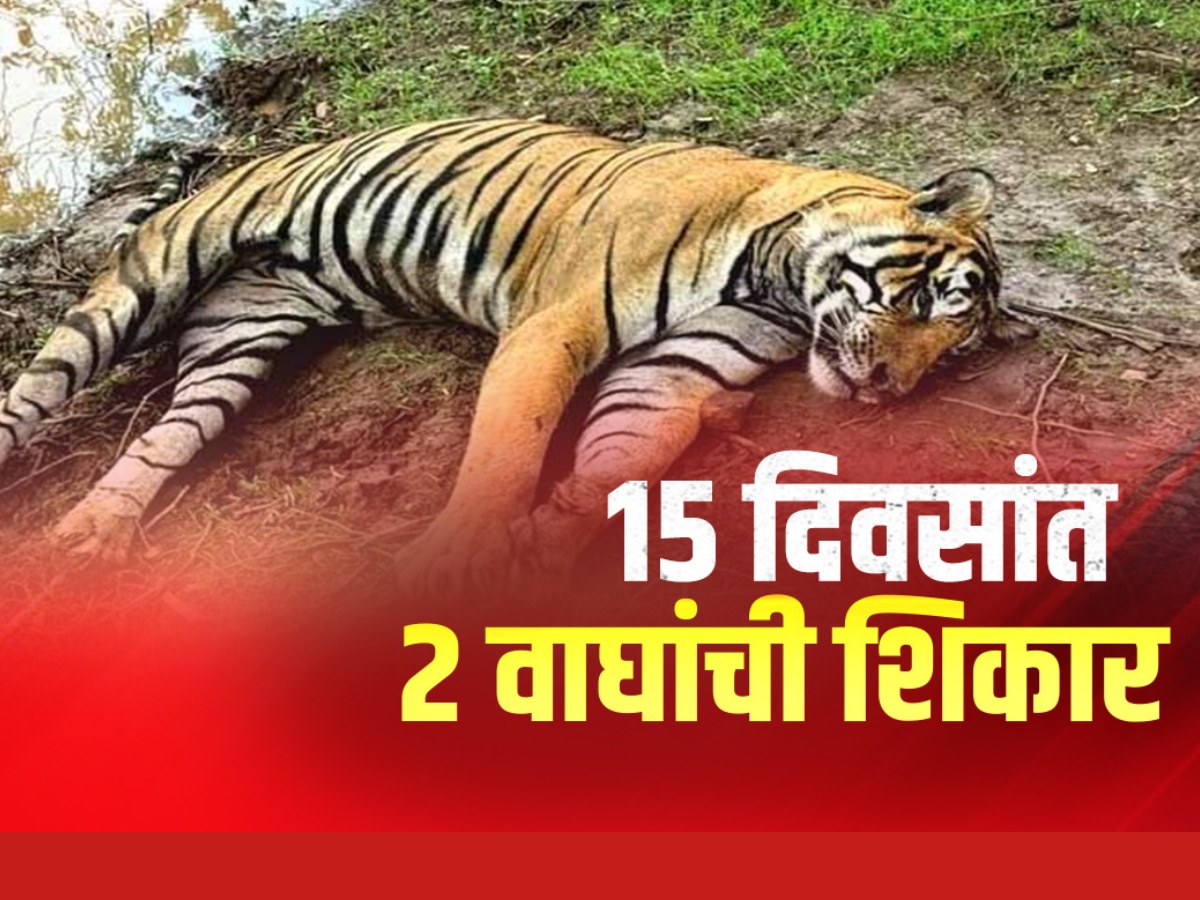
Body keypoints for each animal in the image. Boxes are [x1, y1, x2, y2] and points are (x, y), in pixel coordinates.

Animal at [0, 116, 1017, 591]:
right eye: (922, 299)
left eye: (949, 355)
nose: (884, 389)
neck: (775, 281)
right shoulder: (552, 328)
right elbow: (508, 445)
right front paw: (465, 556)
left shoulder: (674, 371)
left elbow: (621, 459)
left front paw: (553, 531)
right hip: (146, 285)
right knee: (32, 396)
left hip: (236, 344)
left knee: (161, 436)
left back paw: (94, 531)